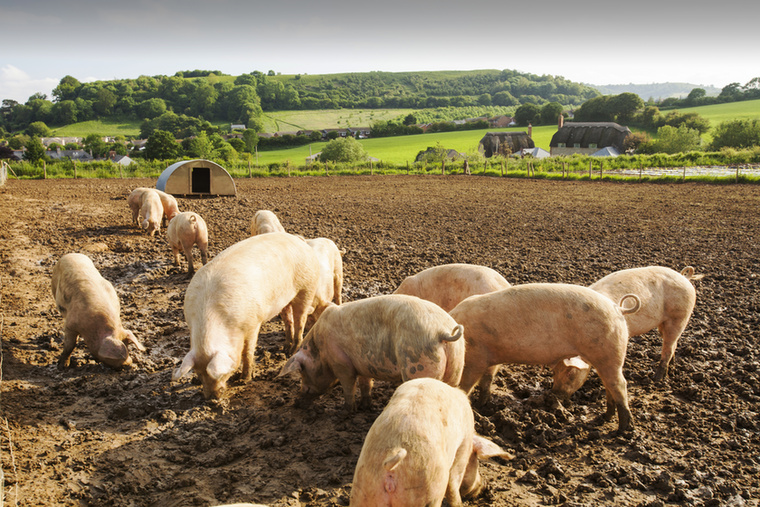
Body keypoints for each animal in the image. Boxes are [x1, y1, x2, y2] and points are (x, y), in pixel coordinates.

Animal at [174, 232, 320, 398]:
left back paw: (292, 350)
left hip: (307, 288)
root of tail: (299, 240)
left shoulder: (253, 323)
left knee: (300, 320)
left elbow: (247, 352)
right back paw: (285, 348)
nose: (212, 398)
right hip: (285, 300)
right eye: (198, 374)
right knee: (288, 320)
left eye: (221, 374)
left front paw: (244, 380)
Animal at [280, 294, 466, 412]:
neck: (320, 349)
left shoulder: (341, 363)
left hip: (417, 364)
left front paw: (346, 411)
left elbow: (349, 386)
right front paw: (365, 407)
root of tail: (441, 332)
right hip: (457, 366)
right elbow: (366, 384)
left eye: (303, 372)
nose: (296, 403)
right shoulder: (362, 364)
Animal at [348, 380, 510, 506]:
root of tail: (391, 464)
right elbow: (453, 484)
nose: (485, 486)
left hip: (363, 489)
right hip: (425, 491)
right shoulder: (463, 448)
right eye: (477, 463)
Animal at [452, 284, 640, 434]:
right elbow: (486, 381)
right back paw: (606, 417)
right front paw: (482, 405)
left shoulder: (476, 358)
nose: (555, 393)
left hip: (608, 352)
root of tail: (618, 309)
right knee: (609, 385)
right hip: (604, 356)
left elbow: (467, 384)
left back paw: (623, 430)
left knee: (620, 385)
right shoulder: (490, 359)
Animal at [552, 266, 708, 396]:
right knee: (672, 343)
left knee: (669, 346)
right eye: (555, 371)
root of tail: (684, 277)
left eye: (571, 373)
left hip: (680, 316)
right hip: (664, 323)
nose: (553, 395)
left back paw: (656, 378)